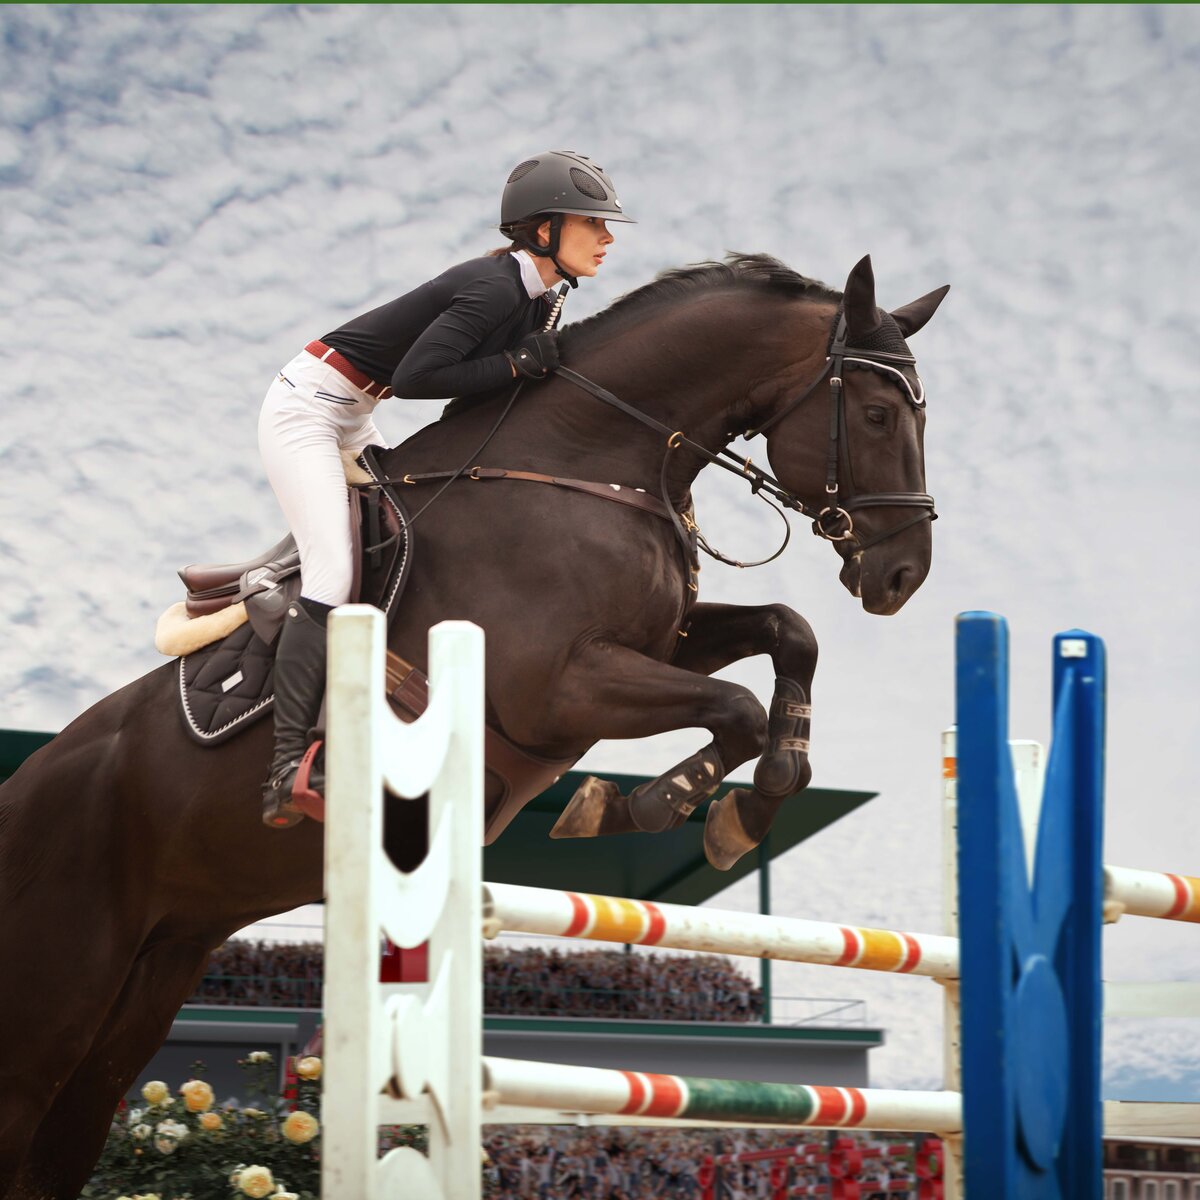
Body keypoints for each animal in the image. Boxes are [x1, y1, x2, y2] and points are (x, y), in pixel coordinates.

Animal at [0, 248, 945, 1195]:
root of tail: (19, 786)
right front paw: (649, 804)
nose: (903, 576)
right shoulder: (555, 689)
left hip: (153, 973)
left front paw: (753, 797)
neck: (590, 460)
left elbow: (790, 632)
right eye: (875, 413)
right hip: (60, 985)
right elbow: (736, 708)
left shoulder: (660, 641)